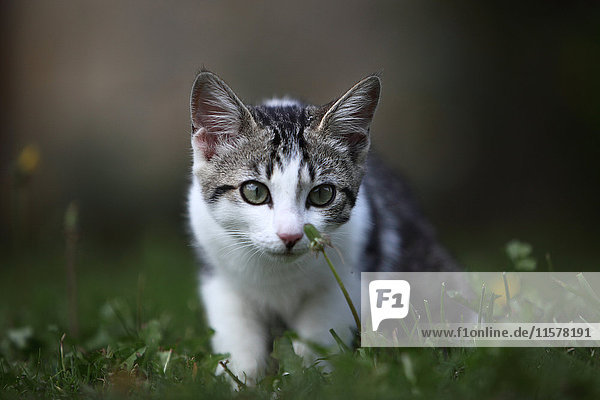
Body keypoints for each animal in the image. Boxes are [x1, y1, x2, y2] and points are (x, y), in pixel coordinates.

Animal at [186, 70, 454, 382]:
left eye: (322, 194)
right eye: (254, 191)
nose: (289, 235)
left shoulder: (349, 271)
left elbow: (321, 332)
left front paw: (308, 377)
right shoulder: (217, 270)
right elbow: (236, 331)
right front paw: (239, 378)